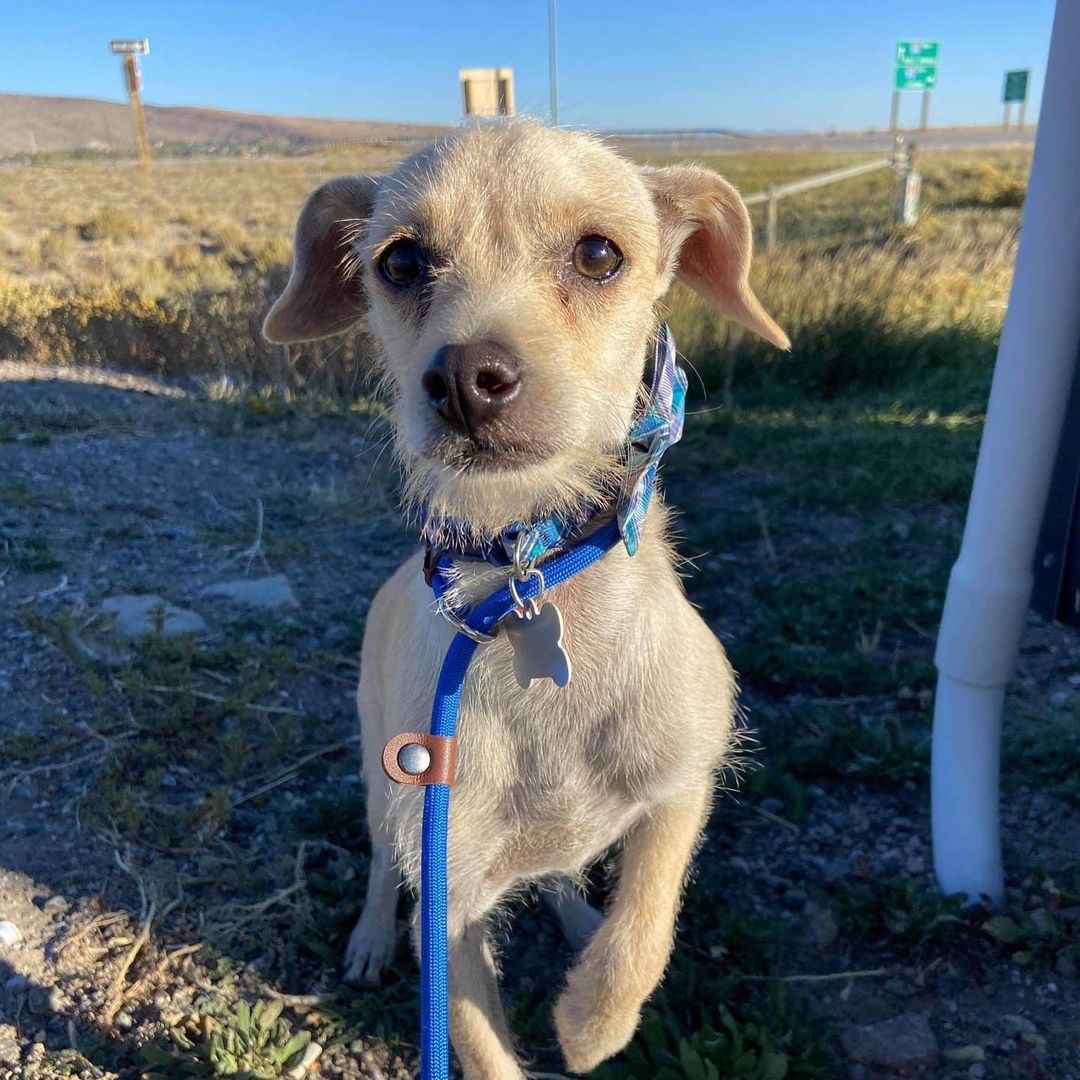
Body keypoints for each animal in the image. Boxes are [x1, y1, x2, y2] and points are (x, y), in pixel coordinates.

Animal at [261, 122, 786, 1075]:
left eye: (598, 254)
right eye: (399, 262)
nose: (467, 378)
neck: (523, 581)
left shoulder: (685, 778)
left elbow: (647, 921)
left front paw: (591, 1021)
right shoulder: (449, 900)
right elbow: (480, 1045)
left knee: (567, 875)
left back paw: (577, 920)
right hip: (380, 780)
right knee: (380, 864)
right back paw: (369, 937)